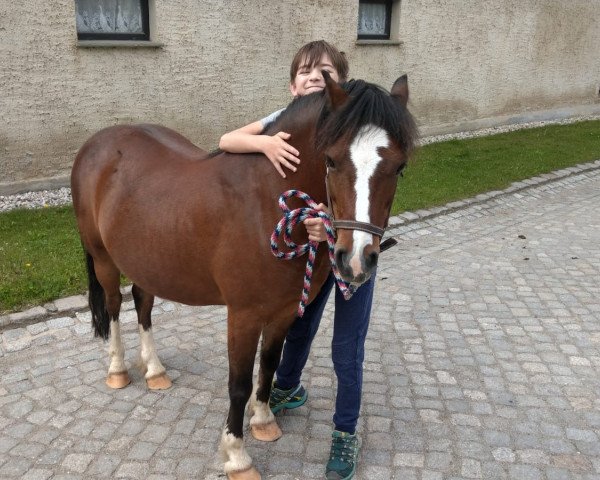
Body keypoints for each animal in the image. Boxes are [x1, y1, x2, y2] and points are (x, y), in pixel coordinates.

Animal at [71, 72, 418, 480]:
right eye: (331, 161)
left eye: (400, 167)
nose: (357, 260)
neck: (265, 201)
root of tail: (96, 144)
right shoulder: (244, 315)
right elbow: (238, 383)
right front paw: (237, 456)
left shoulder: (284, 310)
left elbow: (269, 365)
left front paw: (264, 420)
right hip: (103, 259)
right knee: (112, 307)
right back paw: (118, 369)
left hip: (146, 259)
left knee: (143, 303)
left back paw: (155, 370)